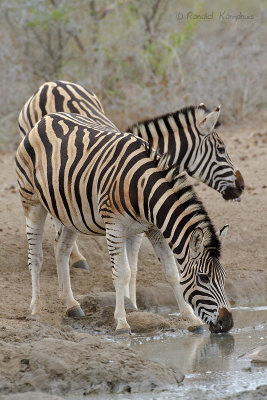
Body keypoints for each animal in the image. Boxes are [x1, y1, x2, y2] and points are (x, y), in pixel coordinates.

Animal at [15, 111, 234, 332]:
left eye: (224, 276)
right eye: (203, 278)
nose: (228, 323)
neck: (144, 187)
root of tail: (47, 118)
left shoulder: (152, 228)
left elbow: (171, 272)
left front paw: (191, 319)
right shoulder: (115, 226)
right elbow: (122, 273)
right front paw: (122, 322)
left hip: (71, 214)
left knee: (61, 249)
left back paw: (71, 305)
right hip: (32, 201)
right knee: (36, 257)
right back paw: (35, 309)